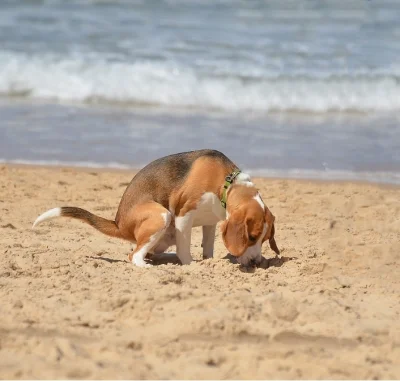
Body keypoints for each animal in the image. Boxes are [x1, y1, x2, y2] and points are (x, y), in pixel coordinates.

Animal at [32, 149, 280, 268]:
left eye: (265, 239)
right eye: (251, 237)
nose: (257, 262)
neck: (226, 182)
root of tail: (118, 223)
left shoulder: (210, 222)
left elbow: (207, 247)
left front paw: (208, 261)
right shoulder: (183, 214)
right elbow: (185, 249)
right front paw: (191, 265)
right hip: (162, 216)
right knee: (134, 255)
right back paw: (147, 265)